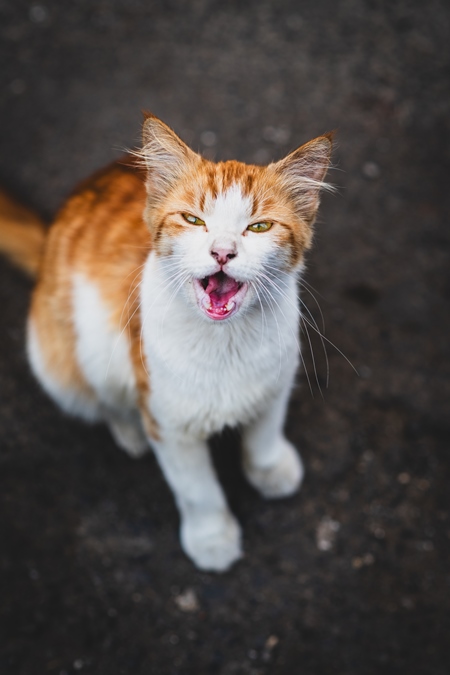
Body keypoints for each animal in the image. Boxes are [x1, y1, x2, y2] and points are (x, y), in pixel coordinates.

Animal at [0, 115, 330, 572]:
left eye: (259, 226)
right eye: (193, 220)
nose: (222, 252)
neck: (225, 343)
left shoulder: (276, 381)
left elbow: (264, 435)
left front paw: (270, 470)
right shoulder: (169, 422)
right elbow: (198, 490)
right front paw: (212, 539)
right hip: (61, 358)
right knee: (101, 396)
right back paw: (129, 430)